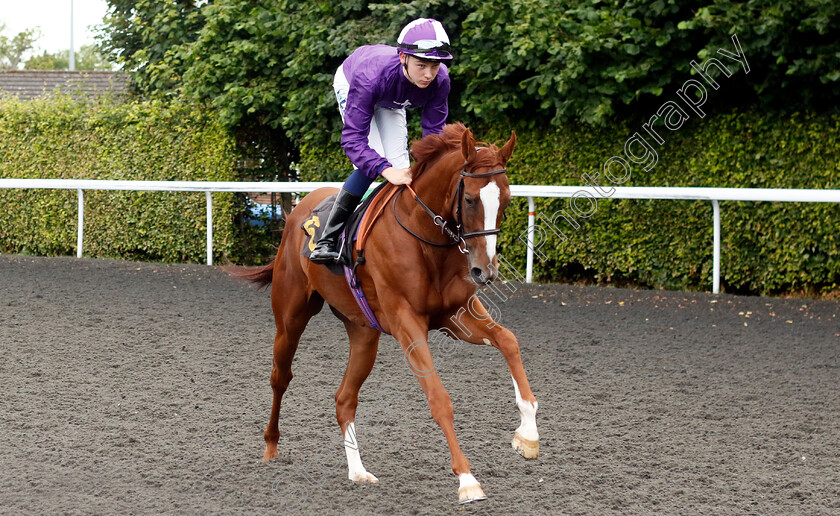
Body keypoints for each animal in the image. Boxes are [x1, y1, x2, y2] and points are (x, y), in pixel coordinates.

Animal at [236, 124, 540, 504]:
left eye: (507, 201)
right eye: (470, 199)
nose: (486, 271)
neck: (424, 238)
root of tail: (299, 209)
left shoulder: (455, 315)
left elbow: (508, 340)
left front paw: (528, 433)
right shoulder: (407, 323)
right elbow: (439, 399)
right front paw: (467, 479)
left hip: (364, 333)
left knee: (344, 398)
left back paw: (358, 471)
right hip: (290, 318)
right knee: (281, 378)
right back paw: (271, 447)